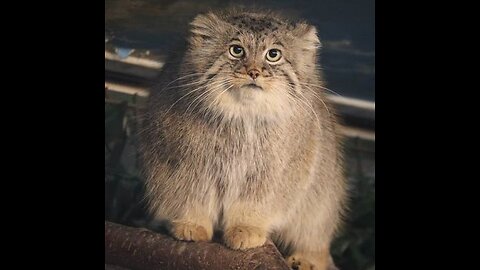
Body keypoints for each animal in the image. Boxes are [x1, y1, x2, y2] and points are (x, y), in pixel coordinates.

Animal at [141, 8, 346, 270]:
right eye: (236, 50)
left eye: (273, 54)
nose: (254, 72)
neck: (243, 118)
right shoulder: (183, 164)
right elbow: (190, 195)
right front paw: (191, 224)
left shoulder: (274, 173)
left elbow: (256, 204)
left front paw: (246, 229)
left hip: (322, 200)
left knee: (315, 236)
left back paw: (307, 259)